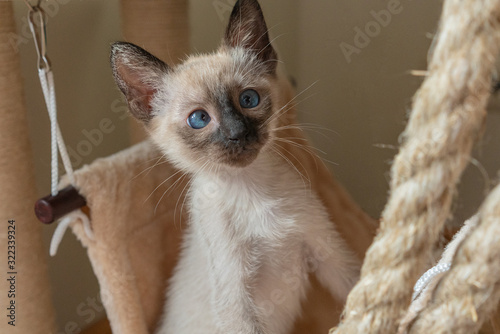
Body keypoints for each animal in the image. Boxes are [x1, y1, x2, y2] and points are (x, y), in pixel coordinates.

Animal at [110, 0, 360, 334]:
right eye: (199, 119)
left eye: (248, 99)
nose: (237, 133)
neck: (250, 187)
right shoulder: (235, 297)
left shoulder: (326, 251)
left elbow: (359, 288)